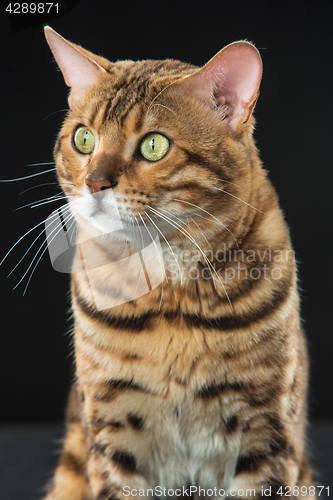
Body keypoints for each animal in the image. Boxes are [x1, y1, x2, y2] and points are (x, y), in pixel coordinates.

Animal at [40, 26, 314, 500]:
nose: (94, 182)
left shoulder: (267, 431)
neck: (171, 294)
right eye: (83, 139)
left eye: (154, 145)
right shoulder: (112, 428)